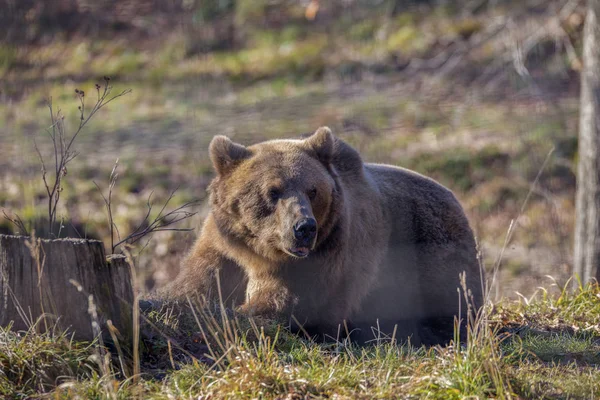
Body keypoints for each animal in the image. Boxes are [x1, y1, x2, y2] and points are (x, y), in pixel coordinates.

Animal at [166, 127, 486, 344]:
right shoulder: (223, 247)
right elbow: (195, 286)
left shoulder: (327, 256)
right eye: (273, 191)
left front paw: (242, 313)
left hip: (429, 251)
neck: (258, 252)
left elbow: (286, 302)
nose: (304, 228)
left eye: (312, 190)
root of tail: (453, 197)